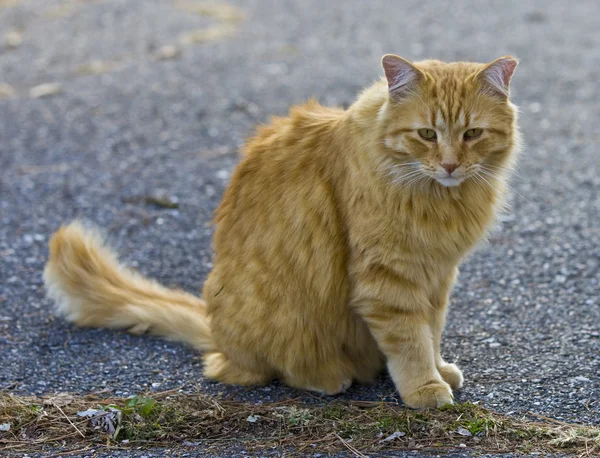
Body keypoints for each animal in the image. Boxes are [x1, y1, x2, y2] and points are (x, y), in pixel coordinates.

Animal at [44, 53, 516, 408]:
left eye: (473, 133)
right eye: (426, 134)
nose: (450, 165)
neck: (441, 201)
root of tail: (217, 335)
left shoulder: (437, 273)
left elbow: (431, 331)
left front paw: (438, 369)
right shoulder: (389, 276)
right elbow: (410, 339)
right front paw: (423, 387)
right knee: (263, 369)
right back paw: (328, 377)